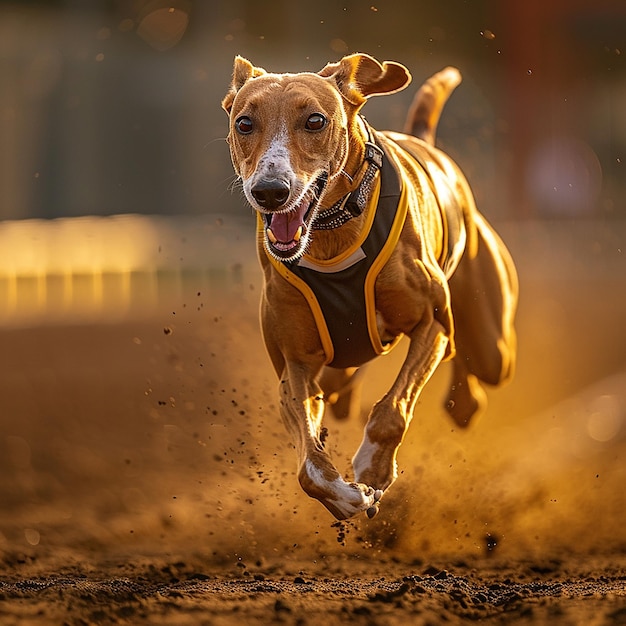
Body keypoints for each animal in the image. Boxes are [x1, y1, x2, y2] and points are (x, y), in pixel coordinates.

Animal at [222, 54, 516, 516]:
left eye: (315, 120)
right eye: (244, 123)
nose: (270, 191)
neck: (332, 234)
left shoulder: (431, 323)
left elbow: (392, 409)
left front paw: (373, 470)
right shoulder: (292, 364)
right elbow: (307, 466)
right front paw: (342, 494)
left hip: (493, 343)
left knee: (473, 361)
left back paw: (463, 400)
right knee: (341, 385)